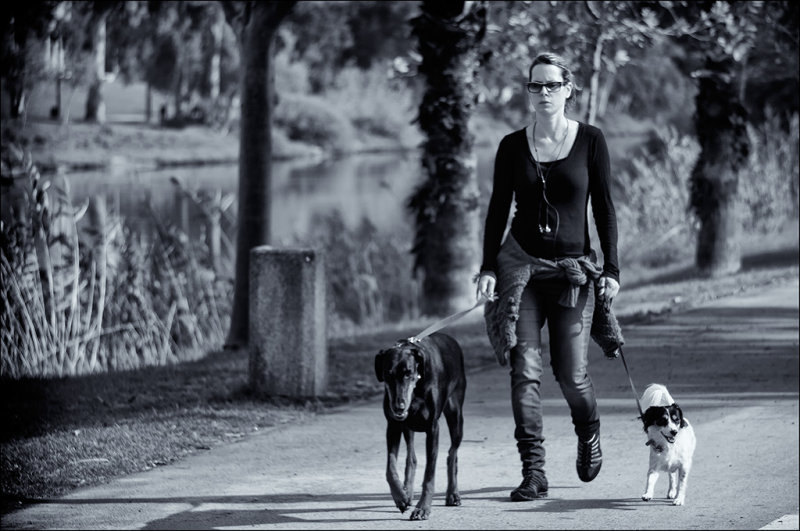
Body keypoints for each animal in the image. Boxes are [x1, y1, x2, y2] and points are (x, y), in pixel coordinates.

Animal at [376, 334, 468, 520]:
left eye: (408, 373)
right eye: (387, 374)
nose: (398, 407)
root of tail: (450, 338)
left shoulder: (432, 429)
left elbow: (429, 475)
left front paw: (423, 508)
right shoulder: (393, 426)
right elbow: (390, 468)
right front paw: (400, 497)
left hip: (456, 416)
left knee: (452, 454)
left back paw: (452, 493)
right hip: (407, 428)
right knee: (411, 457)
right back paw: (407, 492)